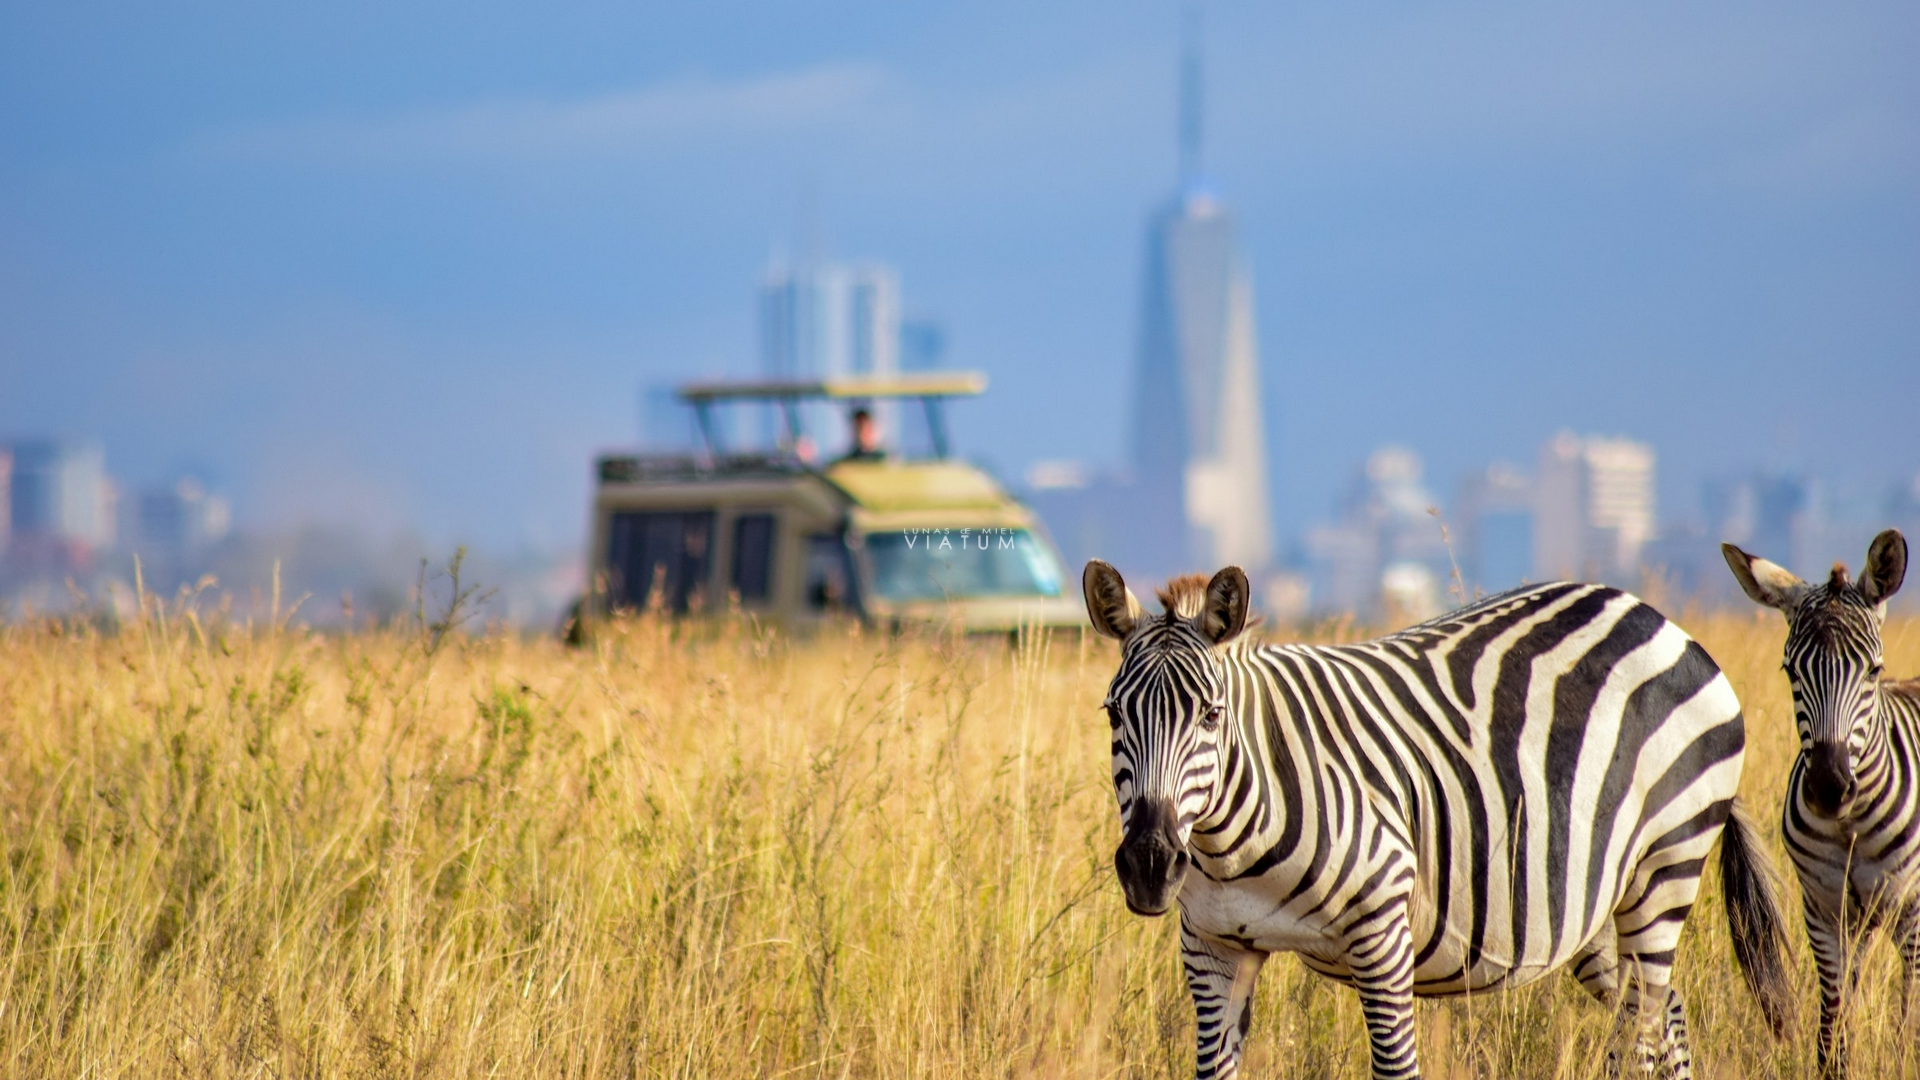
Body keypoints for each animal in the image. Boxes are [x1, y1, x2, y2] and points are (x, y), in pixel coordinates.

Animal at [1090, 557, 1789, 1076]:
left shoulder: (1381, 931)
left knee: (1641, 1032)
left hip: (1666, 864)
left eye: (1211, 715)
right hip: (1594, 903)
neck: (1228, 845)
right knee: (1666, 1016)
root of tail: (1656, 617)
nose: (1150, 865)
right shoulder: (1212, 947)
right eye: (1112, 714)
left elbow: (1395, 1067)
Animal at [1728, 526, 1920, 1068]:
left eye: (1873, 670)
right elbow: (1832, 1030)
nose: (1828, 787)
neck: (1850, 823)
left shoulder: (1913, 916)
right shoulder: (1823, 910)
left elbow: (1908, 1025)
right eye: (1789, 670)